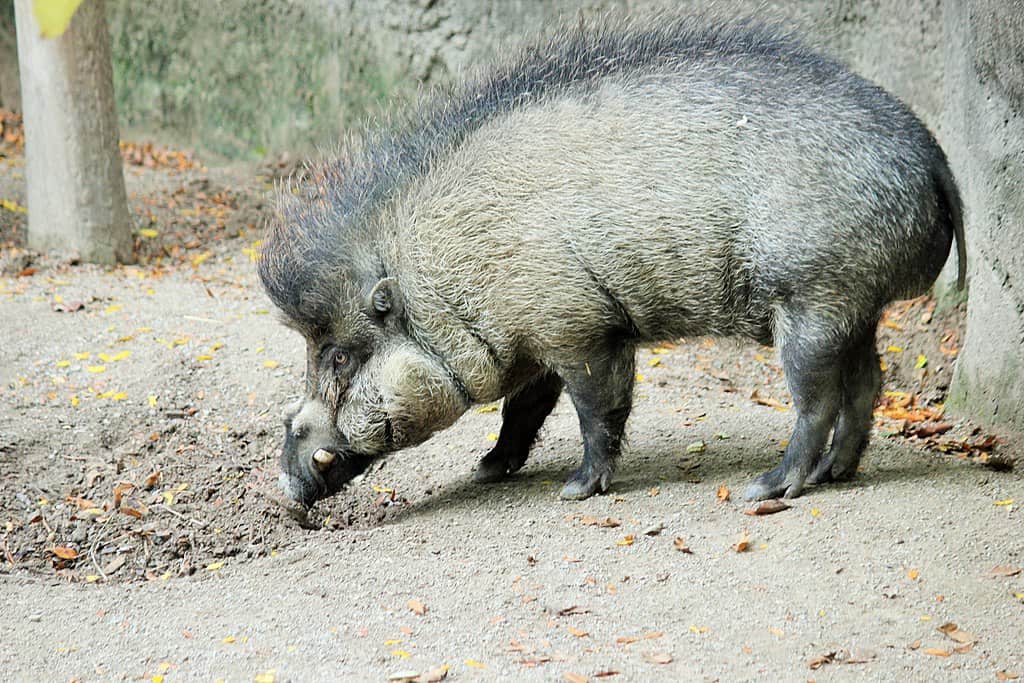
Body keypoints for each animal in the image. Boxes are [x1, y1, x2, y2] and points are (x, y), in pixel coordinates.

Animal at [259, 14, 965, 508]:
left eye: (340, 358)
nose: (287, 494)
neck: (438, 281)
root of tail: (933, 155)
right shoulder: (538, 340)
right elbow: (524, 410)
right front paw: (484, 470)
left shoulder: (580, 327)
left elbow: (598, 408)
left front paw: (574, 491)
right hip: (854, 304)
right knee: (869, 382)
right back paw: (836, 473)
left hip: (814, 297)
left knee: (818, 398)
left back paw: (770, 488)